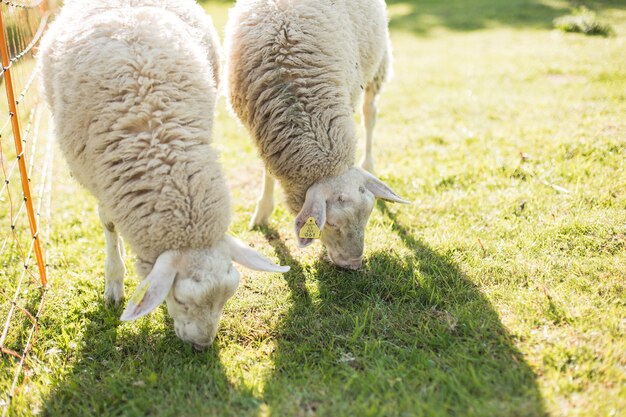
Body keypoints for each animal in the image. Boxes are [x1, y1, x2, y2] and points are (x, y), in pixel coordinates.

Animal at [40, 0, 288, 350]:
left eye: (226, 298)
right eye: (181, 300)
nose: (202, 346)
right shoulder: (95, 176)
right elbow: (109, 224)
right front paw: (114, 282)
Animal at [225, 0, 410, 270]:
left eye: (368, 216)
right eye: (330, 223)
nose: (354, 264)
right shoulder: (258, 126)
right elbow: (266, 171)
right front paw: (262, 211)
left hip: (376, 67)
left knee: (369, 114)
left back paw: (368, 163)